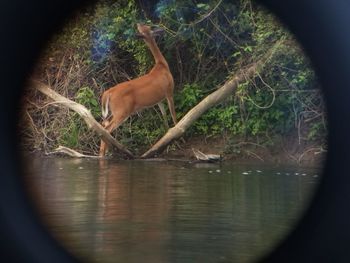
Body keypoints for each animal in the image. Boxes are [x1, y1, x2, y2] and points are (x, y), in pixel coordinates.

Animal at [99, 23, 176, 157]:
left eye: (146, 26)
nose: (138, 23)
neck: (161, 66)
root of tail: (108, 92)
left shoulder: (159, 100)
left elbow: (164, 117)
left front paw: (168, 141)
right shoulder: (169, 91)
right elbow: (173, 114)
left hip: (113, 111)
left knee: (103, 124)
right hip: (122, 111)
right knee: (106, 129)